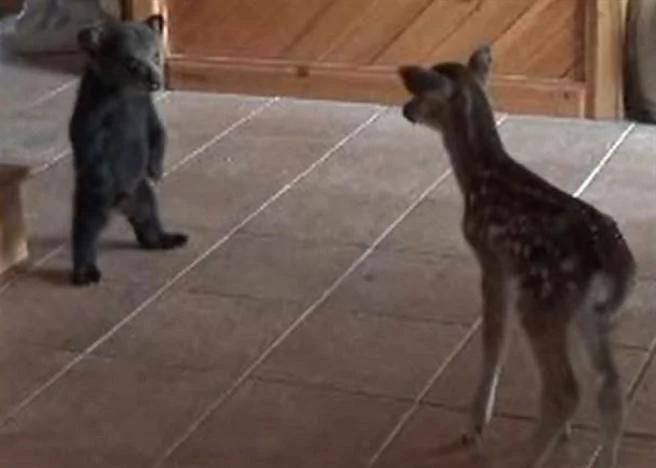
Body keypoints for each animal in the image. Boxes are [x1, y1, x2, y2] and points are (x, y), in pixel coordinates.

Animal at [398, 45, 636, 468]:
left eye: (422, 93)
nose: (404, 109)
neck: (479, 176)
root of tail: (617, 265)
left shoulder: (490, 258)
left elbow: (493, 337)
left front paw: (475, 423)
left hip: (541, 297)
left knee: (567, 390)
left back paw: (530, 454)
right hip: (590, 310)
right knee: (609, 384)